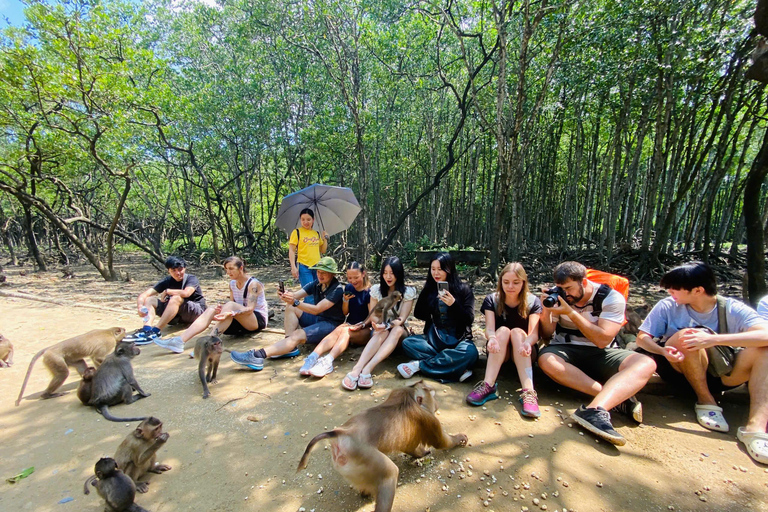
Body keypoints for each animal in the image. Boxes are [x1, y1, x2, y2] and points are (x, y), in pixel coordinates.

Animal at [298, 380, 468, 512]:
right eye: (431, 395)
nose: (437, 403)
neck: (409, 395)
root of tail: (341, 433)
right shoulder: (429, 419)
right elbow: (441, 442)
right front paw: (459, 438)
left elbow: (410, 447)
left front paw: (420, 453)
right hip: (364, 455)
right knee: (390, 473)